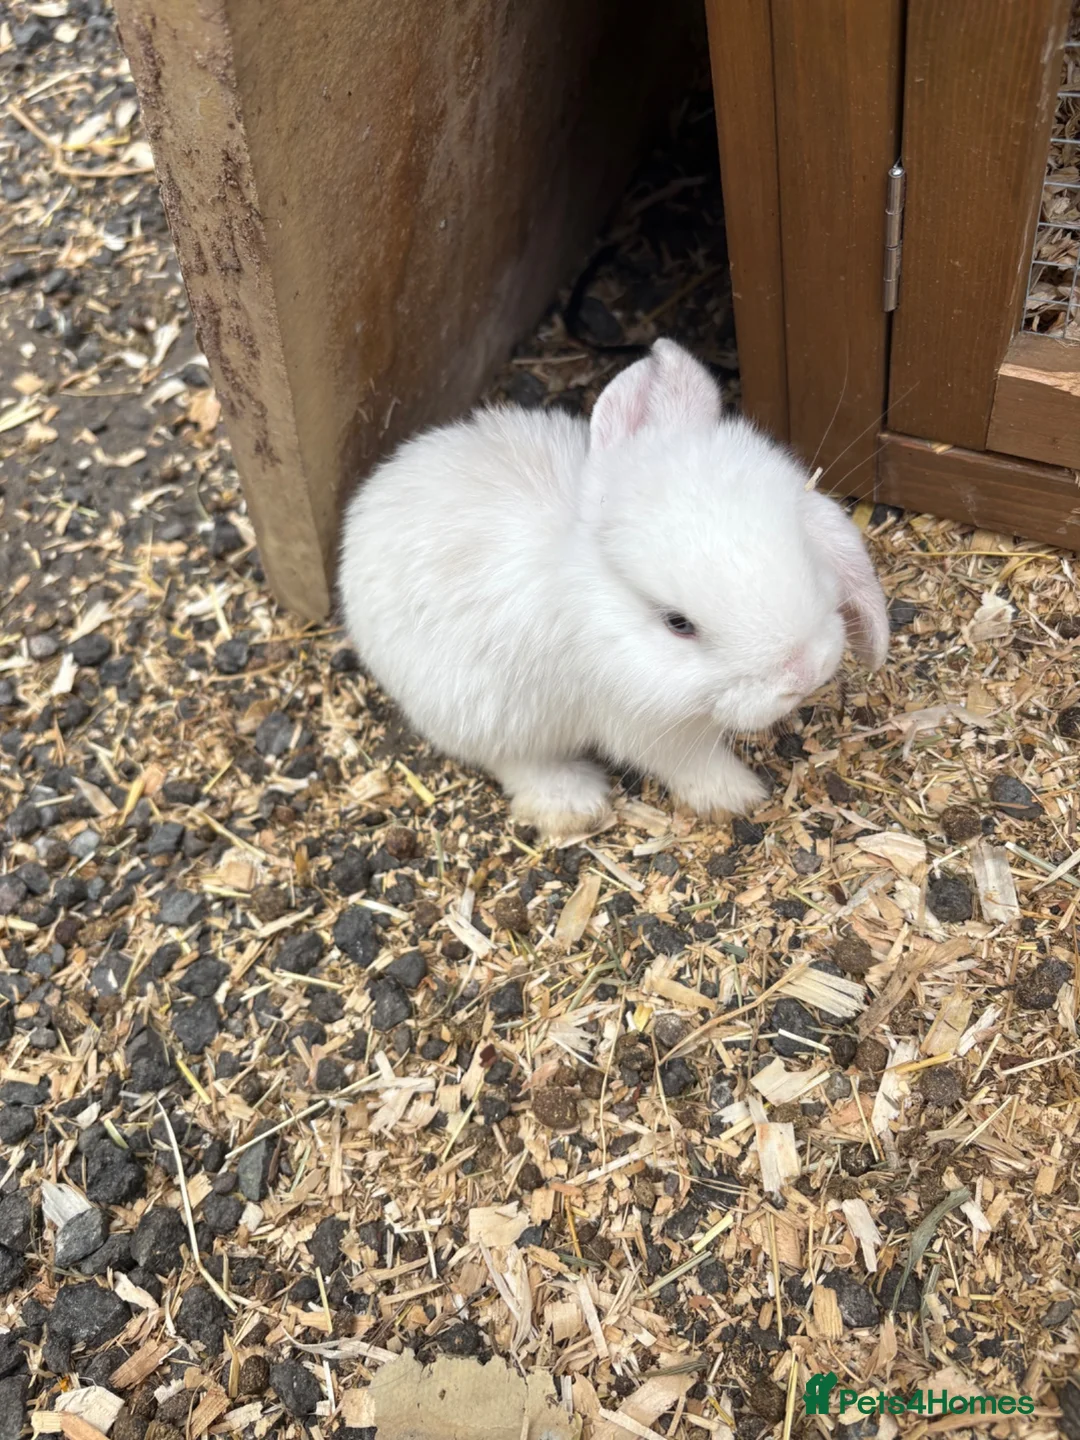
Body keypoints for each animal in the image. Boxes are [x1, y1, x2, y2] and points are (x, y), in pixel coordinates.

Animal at [339, 338, 889, 839]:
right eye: (678, 624)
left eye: (802, 548)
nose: (805, 672)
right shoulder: (640, 719)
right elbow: (690, 761)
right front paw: (737, 796)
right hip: (476, 713)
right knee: (514, 761)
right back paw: (572, 805)